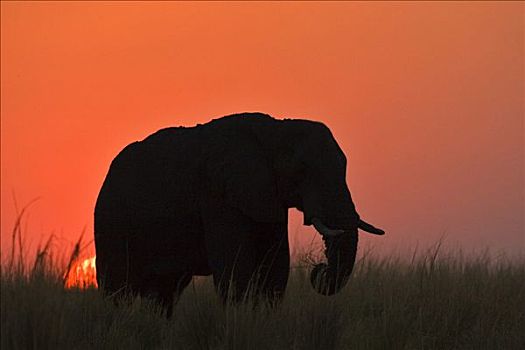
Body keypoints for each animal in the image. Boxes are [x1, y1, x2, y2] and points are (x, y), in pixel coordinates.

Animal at [94, 113, 382, 318]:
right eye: (301, 170)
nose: (318, 269)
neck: (275, 130)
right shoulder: (218, 194)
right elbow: (235, 269)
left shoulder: (268, 198)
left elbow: (275, 266)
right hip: (111, 221)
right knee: (117, 290)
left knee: (165, 292)